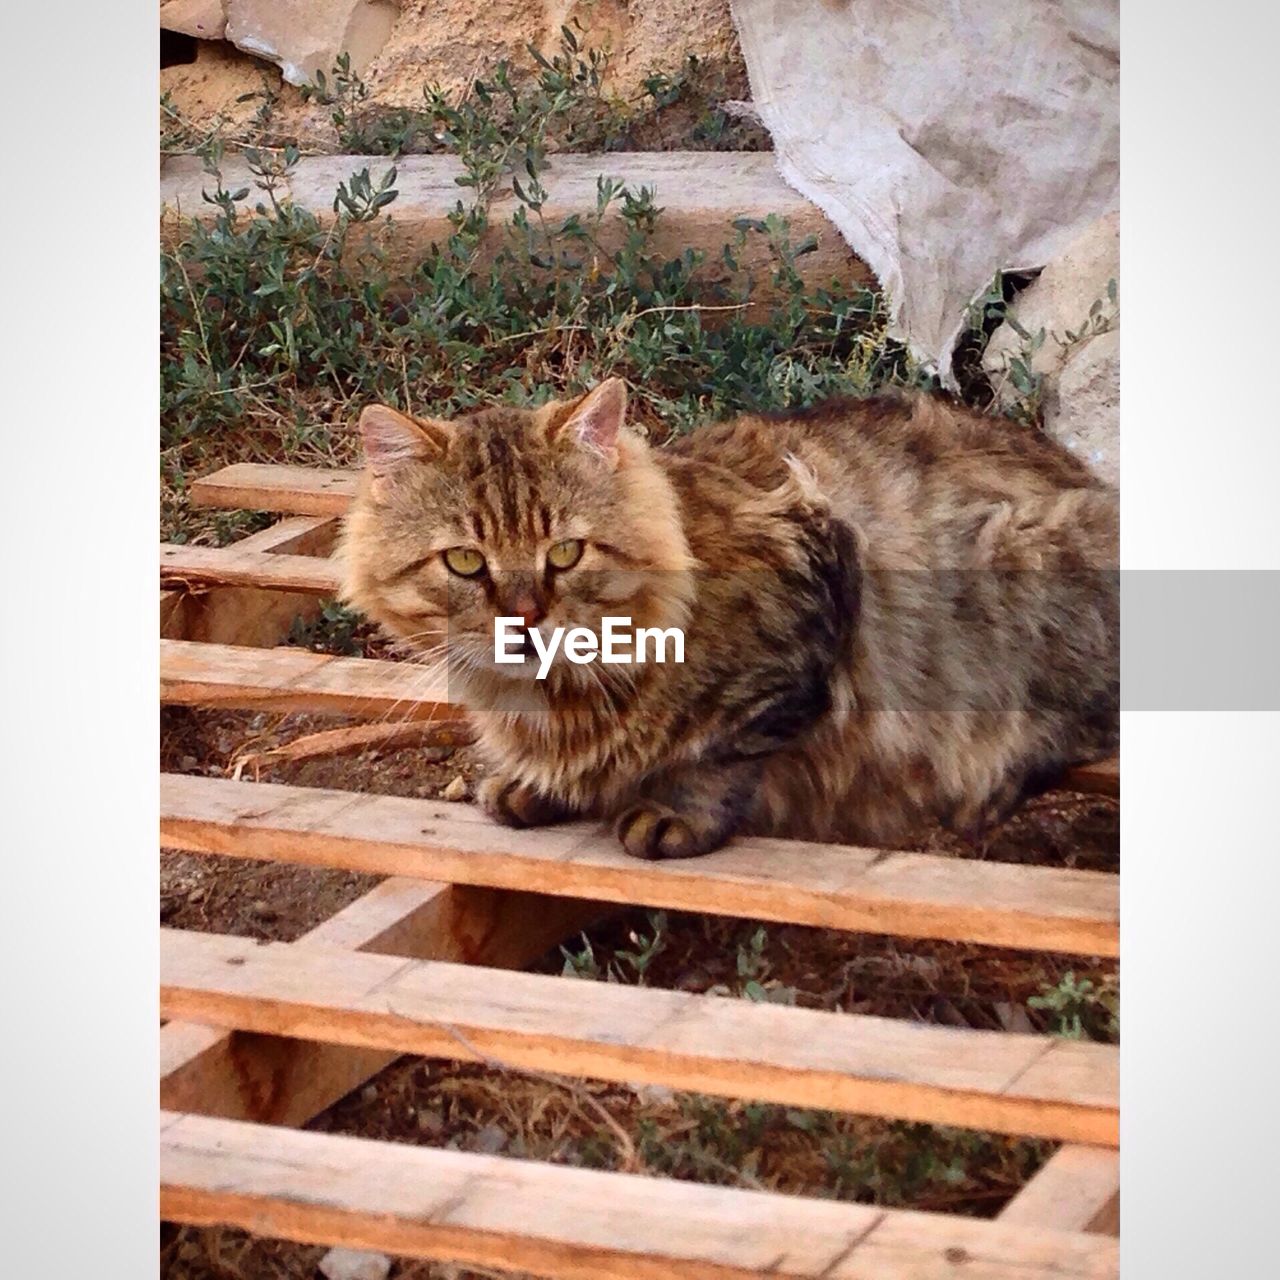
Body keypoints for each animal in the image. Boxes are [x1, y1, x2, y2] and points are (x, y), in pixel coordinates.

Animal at [337, 378, 1111, 860]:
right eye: (465, 562)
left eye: (565, 552)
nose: (525, 618)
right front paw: (544, 785)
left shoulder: (812, 597)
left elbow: (719, 756)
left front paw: (672, 811)